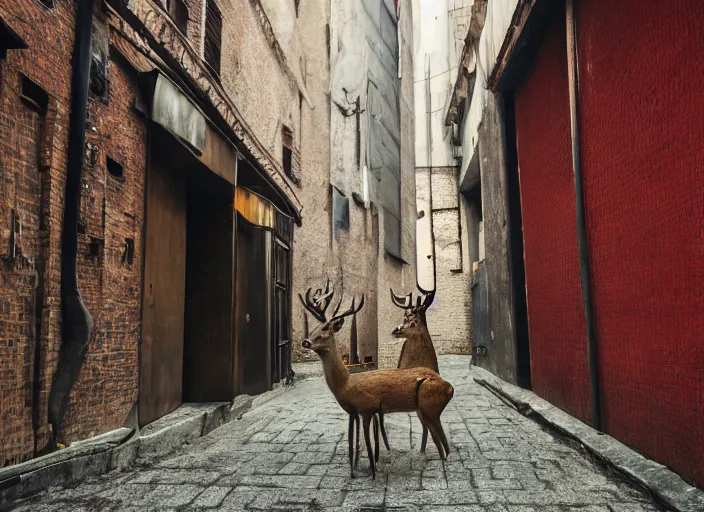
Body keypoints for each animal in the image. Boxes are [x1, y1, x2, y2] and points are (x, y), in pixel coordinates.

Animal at [298, 282, 454, 478]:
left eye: (326, 329)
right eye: (315, 328)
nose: (305, 342)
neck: (346, 384)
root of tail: (450, 388)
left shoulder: (367, 409)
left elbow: (367, 443)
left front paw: (372, 473)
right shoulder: (354, 412)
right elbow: (354, 443)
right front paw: (354, 471)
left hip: (429, 408)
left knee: (442, 444)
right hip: (426, 411)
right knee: (442, 444)